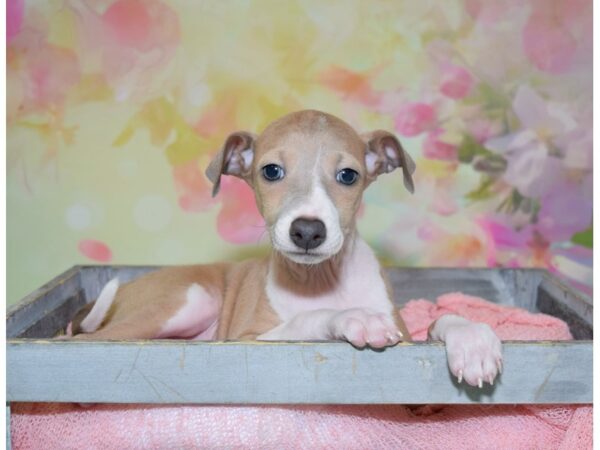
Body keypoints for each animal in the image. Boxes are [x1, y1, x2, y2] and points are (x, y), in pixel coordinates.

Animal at [69, 110, 502, 388]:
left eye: (348, 175)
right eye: (271, 171)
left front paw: (473, 342)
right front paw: (354, 318)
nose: (307, 231)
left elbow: (441, 319)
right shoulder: (246, 341)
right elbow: (306, 320)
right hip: (188, 301)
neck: (320, 280)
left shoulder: (408, 339)